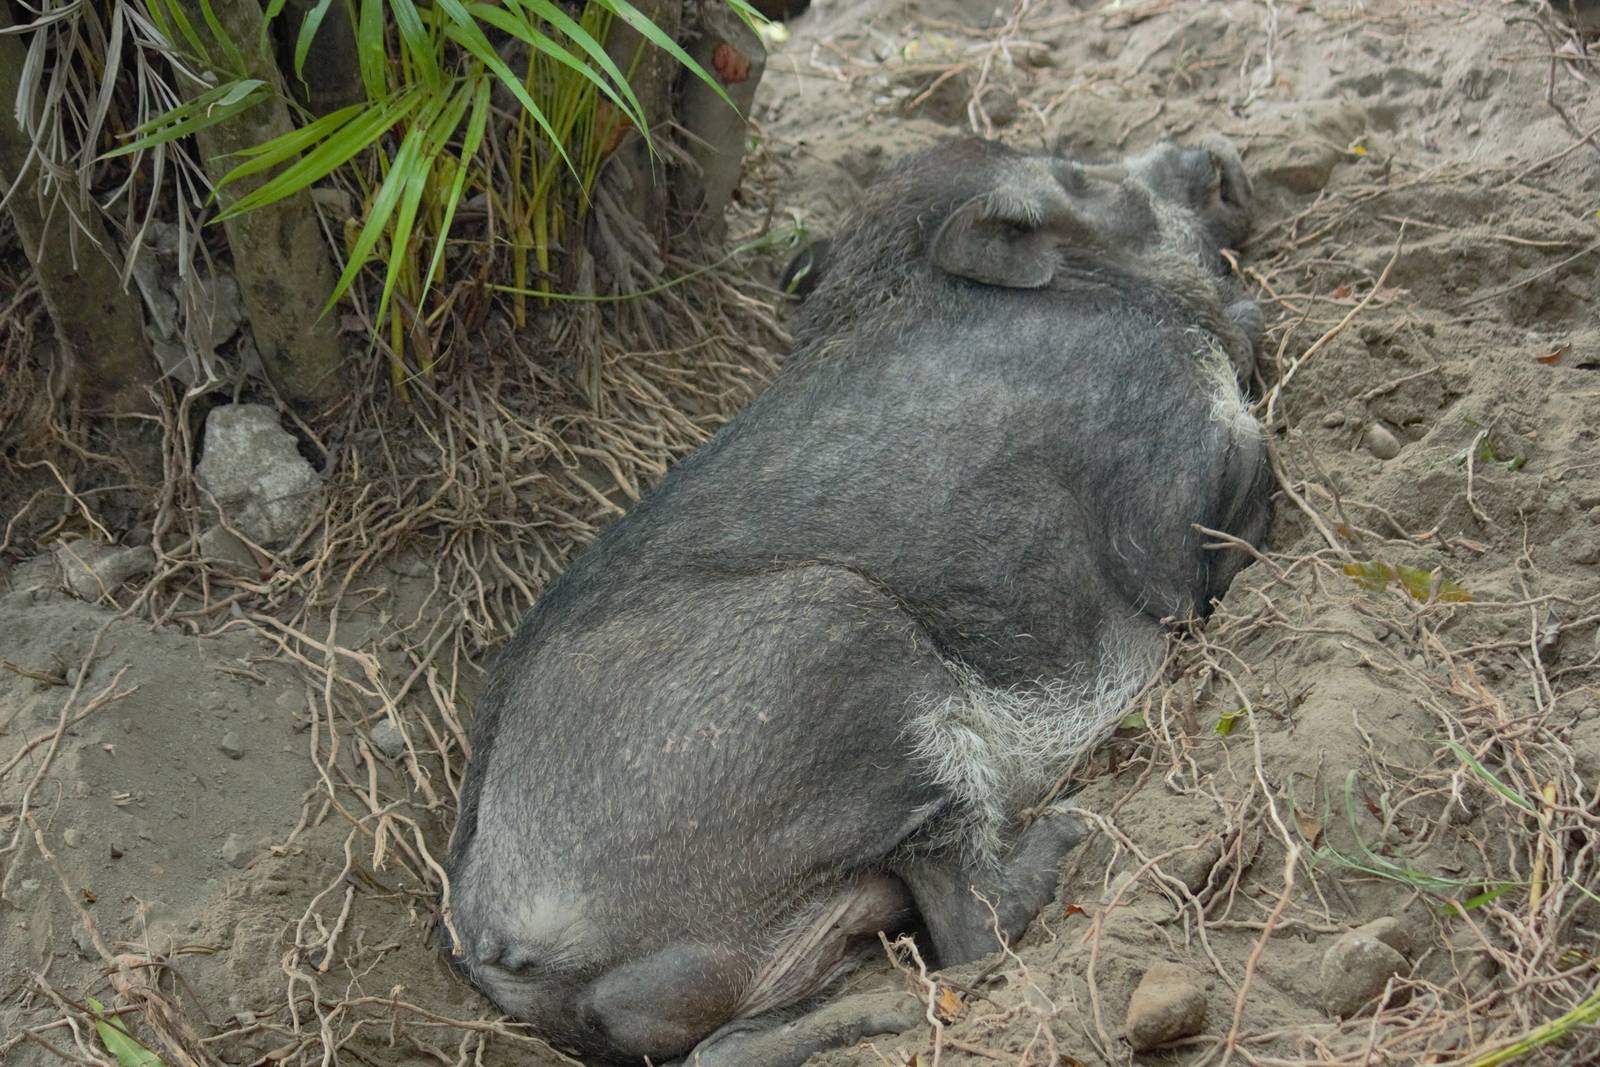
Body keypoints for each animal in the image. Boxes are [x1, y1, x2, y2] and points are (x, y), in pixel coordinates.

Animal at [445, 134, 1273, 1066]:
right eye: (1072, 178)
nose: (1210, 155)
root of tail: (492, 936)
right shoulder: (1171, 502)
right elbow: (1239, 484)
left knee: (728, 1045)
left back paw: (885, 1015)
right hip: (849, 638)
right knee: (971, 922)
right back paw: (1072, 833)